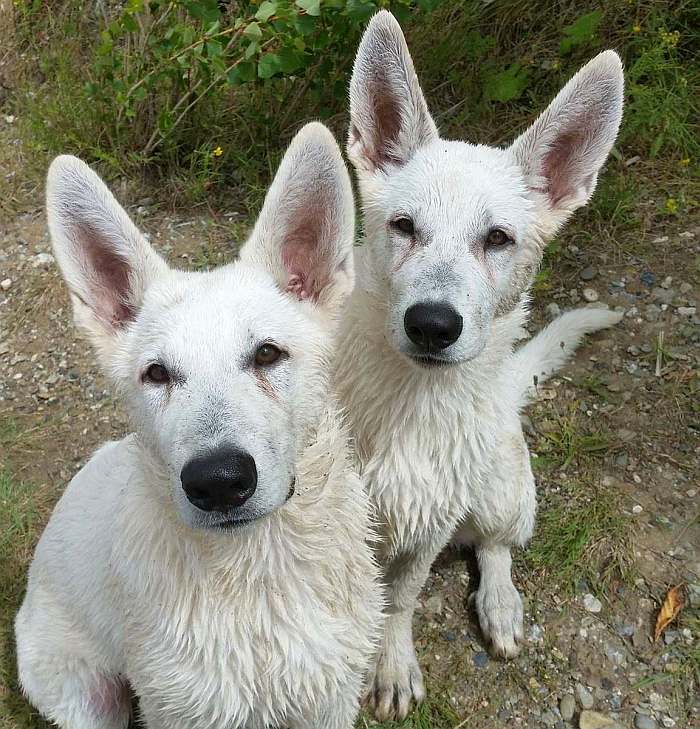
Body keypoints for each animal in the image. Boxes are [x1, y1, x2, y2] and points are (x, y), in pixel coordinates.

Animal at [15, 123, 382, 728]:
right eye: (157, 373)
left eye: (267, 354)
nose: (219, 482)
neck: (253, 582)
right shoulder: (180, 710)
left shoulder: (329, 698)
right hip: (88, 696)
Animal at [336, 12, 628, 724]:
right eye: (403, 226)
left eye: (497, 239)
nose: (432, 324)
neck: (412, 402)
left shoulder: (431, 524)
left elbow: (401, 597)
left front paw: (391, 662)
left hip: (500, 490)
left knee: (496, 545)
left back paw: (500, 603)